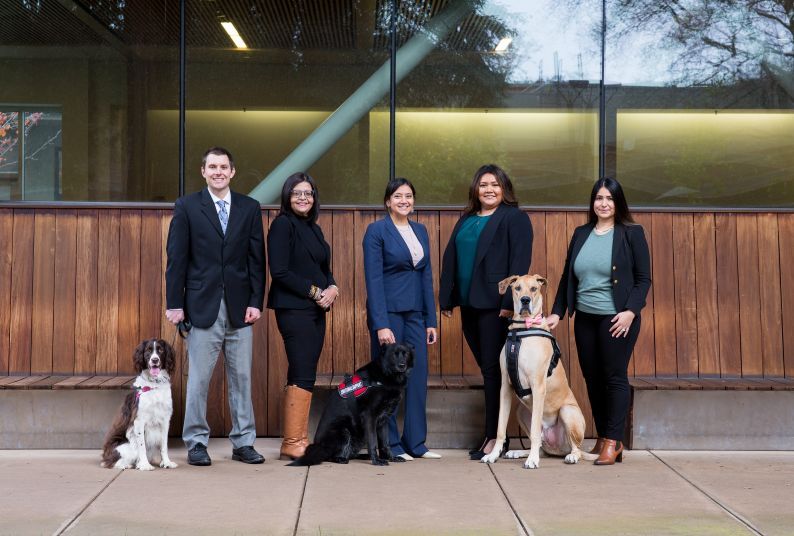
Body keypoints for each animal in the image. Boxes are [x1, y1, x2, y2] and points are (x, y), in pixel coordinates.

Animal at [476, 274, 592, 466]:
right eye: (517, 288)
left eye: (534, 289)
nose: (525, 300)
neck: (521, 330)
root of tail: (558, 448)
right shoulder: (505, 387)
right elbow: (500, 428)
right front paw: (493, 454)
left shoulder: (538, 387)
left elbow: (536, 431)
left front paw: (532, 460)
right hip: (521, 412)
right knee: (541, 447)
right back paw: (518, 452)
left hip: (567, 412)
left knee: (575, 448)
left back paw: (571, 456)